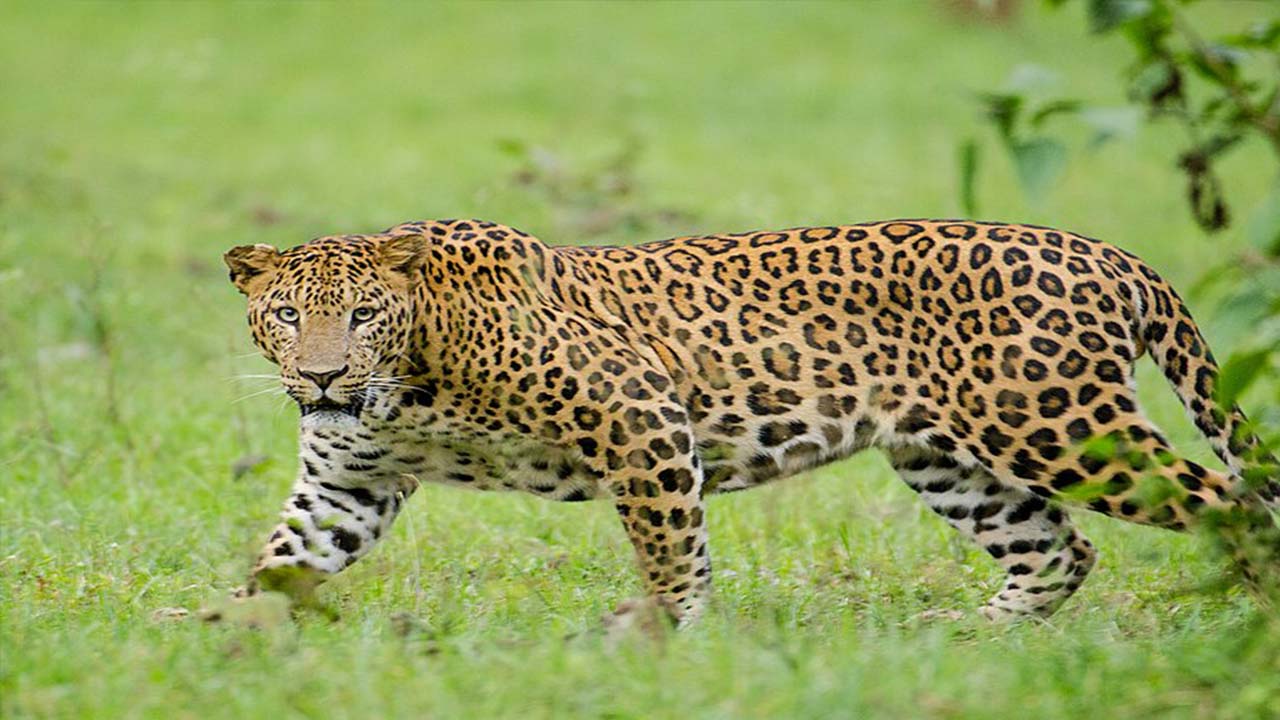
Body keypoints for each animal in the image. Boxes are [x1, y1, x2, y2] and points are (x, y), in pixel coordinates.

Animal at [225, 217, 1274, 622]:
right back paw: (967, 641)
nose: (322, 377)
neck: (408, 380)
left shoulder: (639, 412)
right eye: (288, 315)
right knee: (1058, 550)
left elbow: (669, 549)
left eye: (364, 314)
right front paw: (224, 640)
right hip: (948, 457)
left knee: (1232, 504)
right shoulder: (348, 482)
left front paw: (663, 639)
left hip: (1057, 426)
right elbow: (283, 560)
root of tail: (1108, 252)